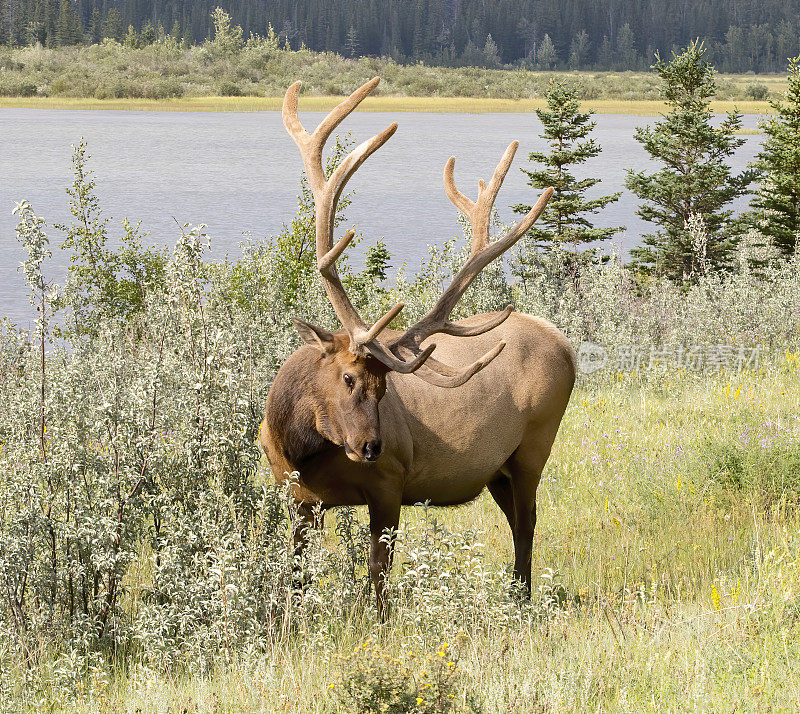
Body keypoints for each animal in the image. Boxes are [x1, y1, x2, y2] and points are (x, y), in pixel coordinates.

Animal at [262, 75, 576, 616]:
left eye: (385, 388)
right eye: (347, 376)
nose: (371, 445)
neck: (299, 444)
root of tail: (568, 346)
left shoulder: (389, 483)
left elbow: (378, 578)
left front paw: (379, 622)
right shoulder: (298, 496)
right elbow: (297, 578)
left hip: (534, 447)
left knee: (528, 525)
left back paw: (519, 600)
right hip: (496, 470)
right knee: (518, 520)